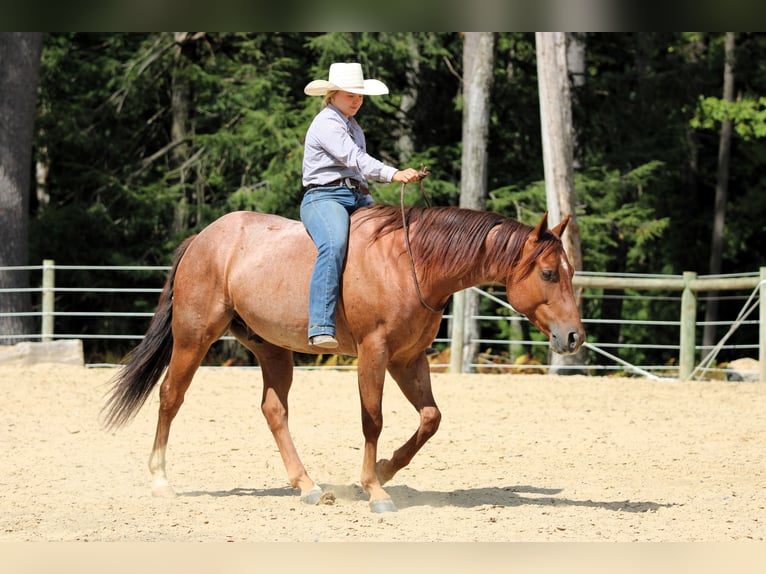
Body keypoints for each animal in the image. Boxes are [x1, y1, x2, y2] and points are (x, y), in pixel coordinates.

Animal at [102, 203, 585, 513]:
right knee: (170, 396)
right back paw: (160, 480)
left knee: (274, 410)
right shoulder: (375, 353)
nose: (574, 337)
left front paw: (386, 470)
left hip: (272, 349)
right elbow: (373, 419)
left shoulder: (409, 359)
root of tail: (203, 239)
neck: (412, 264)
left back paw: (308, 486)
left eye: (570, 271)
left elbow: (430, 418)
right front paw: (376, 491)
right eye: (548, 273)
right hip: (193, 337)